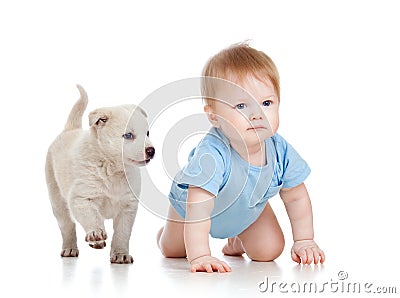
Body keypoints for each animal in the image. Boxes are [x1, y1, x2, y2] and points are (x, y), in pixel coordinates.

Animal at [45, 85, 155, 264]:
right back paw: (70, 248)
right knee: (67, 226)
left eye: (147, 133)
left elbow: (122, 233)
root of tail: (71, 129)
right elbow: (92, 217)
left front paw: (120, 254)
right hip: (57, 199)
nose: (151, 151)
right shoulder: (82, 198)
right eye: (128, 135)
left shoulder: (128, 207)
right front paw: (96, 233)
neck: (113, 169)